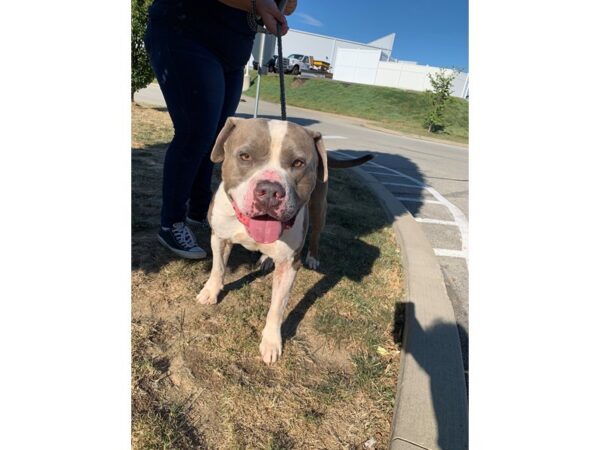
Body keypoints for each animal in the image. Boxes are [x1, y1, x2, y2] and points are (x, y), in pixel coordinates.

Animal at [196, 118, 370, 364]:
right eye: (245, 156)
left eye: (298, 163)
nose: (269, 191)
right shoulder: (219, 237)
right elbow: (218, 269)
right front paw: (210, 292)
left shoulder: (289, 264)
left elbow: (277, 307)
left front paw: (271, 342)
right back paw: (266, 259)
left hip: (319, 208)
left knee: (316, 234)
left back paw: (312, 257)